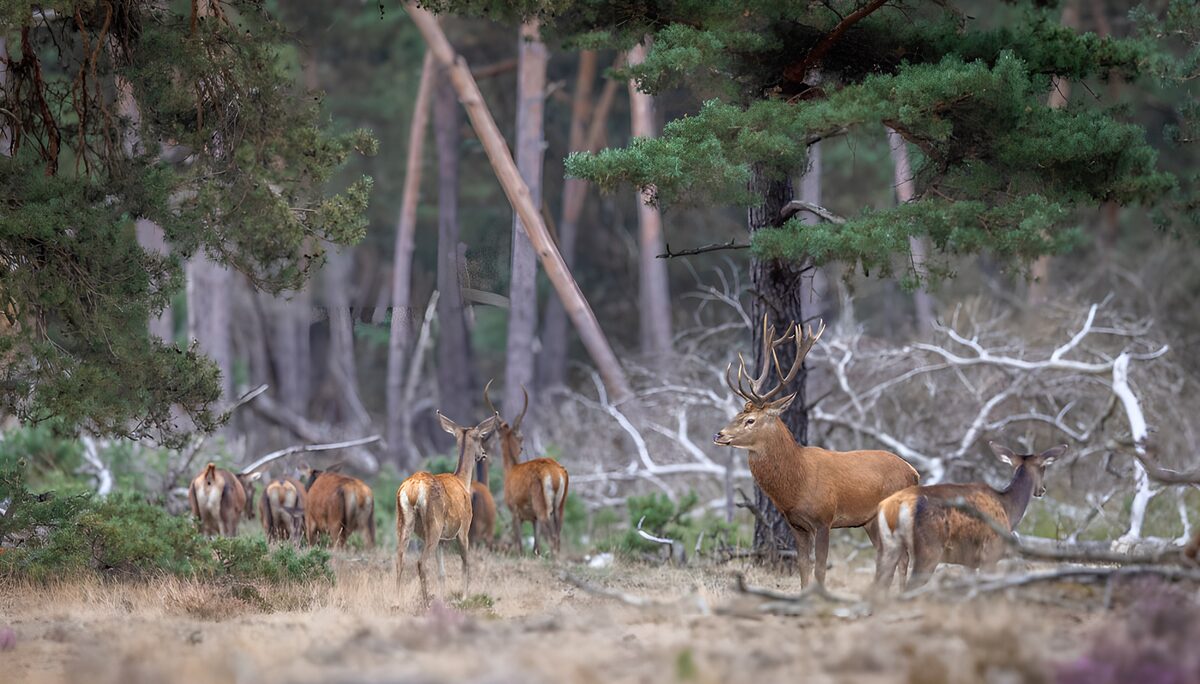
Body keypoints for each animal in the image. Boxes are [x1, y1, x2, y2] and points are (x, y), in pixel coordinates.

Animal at [396, 411, 499, 603]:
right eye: (481, 437)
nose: (483, 454)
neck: (463, 481)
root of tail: (413, 490)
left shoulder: (443, 540)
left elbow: (442, 573)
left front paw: (442, 598)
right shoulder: (464, 528)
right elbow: (466, 562)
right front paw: (464, 597)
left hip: (403, 520)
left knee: (400, 559)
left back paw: (396, 600)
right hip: (434, 524)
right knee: (421, 562)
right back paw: (426, 601)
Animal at [483, 379, 569, 555]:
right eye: (521, 437)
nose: (522, 448)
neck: (510, 469)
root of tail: (556, 476)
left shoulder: (515, 511)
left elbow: (520, 546)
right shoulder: (533, 518)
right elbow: (536, 548)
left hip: (542, 506)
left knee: (552, 539)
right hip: (560, 507)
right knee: (557, 537)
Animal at [713, 317, 920, 589]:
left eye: (750, 420)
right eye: (737, 414)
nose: (719, 435)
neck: (797, 483)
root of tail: (914, 472)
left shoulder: (824, 518)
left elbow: (821, 568)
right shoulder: (797, 525)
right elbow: (803, 567)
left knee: (904, 556)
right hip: (871, 521)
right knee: (890, 555)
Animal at [874, 441, 1066, 593]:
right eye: (1044, 467)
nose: (1042, 489)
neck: (1009, 509)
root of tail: (893, 506)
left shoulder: (969, 561)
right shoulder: (991, 551)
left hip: (888, 546)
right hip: (929, 549)